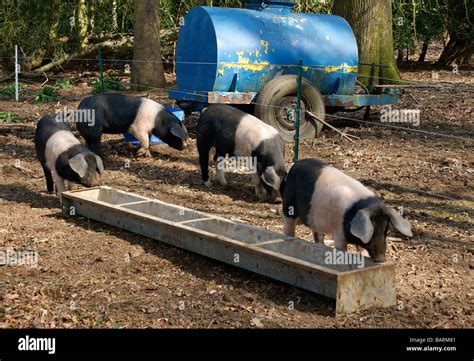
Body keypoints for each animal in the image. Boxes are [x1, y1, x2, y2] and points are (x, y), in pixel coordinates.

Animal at [282, 159, 412, 260]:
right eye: (372, 230)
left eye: (386, 229)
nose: (382, 259)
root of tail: (296, 164)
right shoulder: (338, 233)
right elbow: (342, 249)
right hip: (289, 202)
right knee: (289, 223)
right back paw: (289, 237)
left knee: (317, 234)